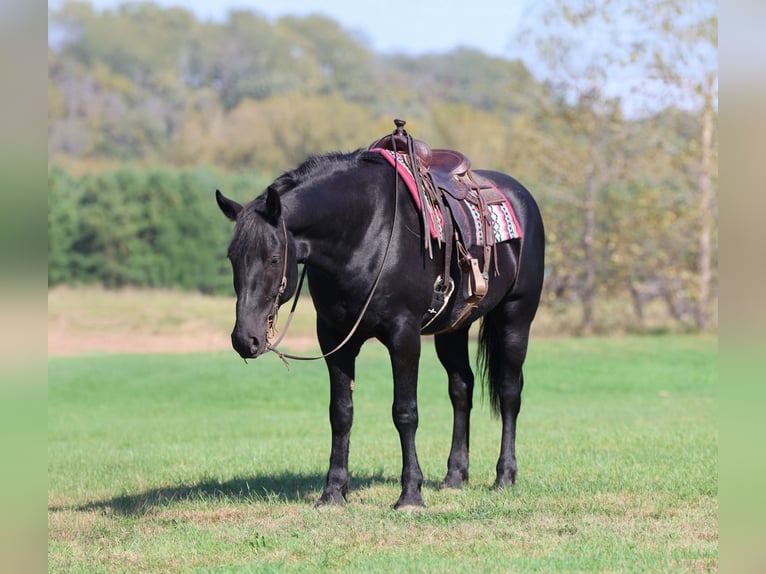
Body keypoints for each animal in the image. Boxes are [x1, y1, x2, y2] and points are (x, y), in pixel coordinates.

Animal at [216, 144, 544, 509]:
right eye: (232, 257)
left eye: (273, 258)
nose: (245, 339)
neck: (364, 233)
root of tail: (522, 197)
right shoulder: (334, 337)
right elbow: (341, 413)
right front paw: (333, 491)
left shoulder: (403, 336)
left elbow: (405, 412)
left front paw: (410, 494)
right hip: (452, 330)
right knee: (462, 389)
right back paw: (455, 476)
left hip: (515, 318)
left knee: (509, 392)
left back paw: (505, 476)